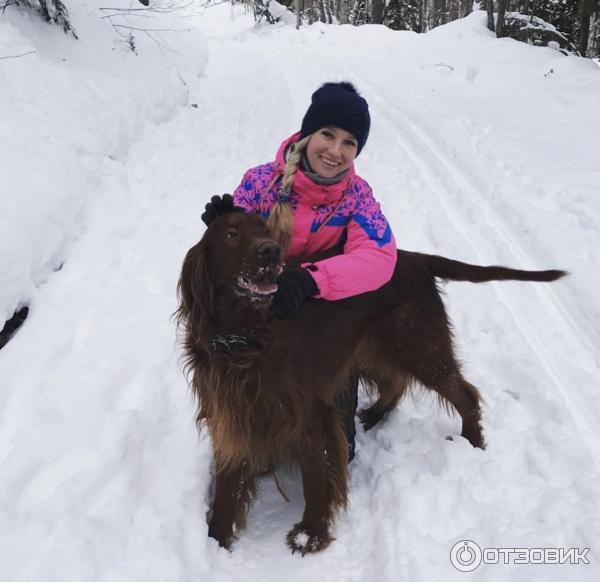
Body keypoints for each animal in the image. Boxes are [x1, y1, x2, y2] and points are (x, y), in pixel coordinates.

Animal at [176, 211, 564, 556]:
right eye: (231, 234)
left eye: (265, 229)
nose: (270, 251)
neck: (246, 338)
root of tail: (417, 259)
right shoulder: (232, 417)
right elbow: (226, 492)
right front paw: (215, 542)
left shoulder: (309, 414)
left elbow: (316, 478)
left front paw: (310, 534)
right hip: (374, 349)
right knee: (397, 383)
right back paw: (376, 414)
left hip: (420, 347)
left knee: (464, 393)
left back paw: (473, 441)